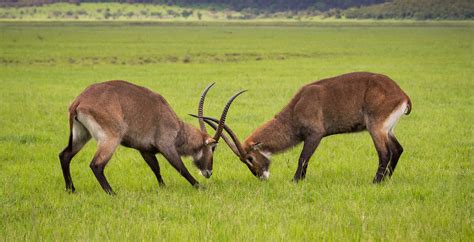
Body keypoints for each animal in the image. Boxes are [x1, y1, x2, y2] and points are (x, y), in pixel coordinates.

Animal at [59, 80, 244, 194]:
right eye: (213, 147)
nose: (209, 172)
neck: (177, 127)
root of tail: (79, 100)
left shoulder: (145, 150)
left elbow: (156, 168)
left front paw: (163, 188)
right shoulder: (167, 146)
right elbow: (181, 168)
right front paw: (200, 187)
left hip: (81, 136)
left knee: (65, 155)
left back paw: (71, 190)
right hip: (110, 139)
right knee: (96, 165)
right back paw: (112, 193)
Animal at [195, 72, 412, 183]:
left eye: (249, 158)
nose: (260, 176)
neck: (297, 106)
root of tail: (401, 94)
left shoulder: (315, 135)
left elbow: (303, 158)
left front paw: (295, 180)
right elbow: (306, 160)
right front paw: (302, 180)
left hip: (376, 128)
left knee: (385, 153)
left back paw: (376, 181)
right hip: (387, 130)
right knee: (398, 149)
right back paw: (387, 180)